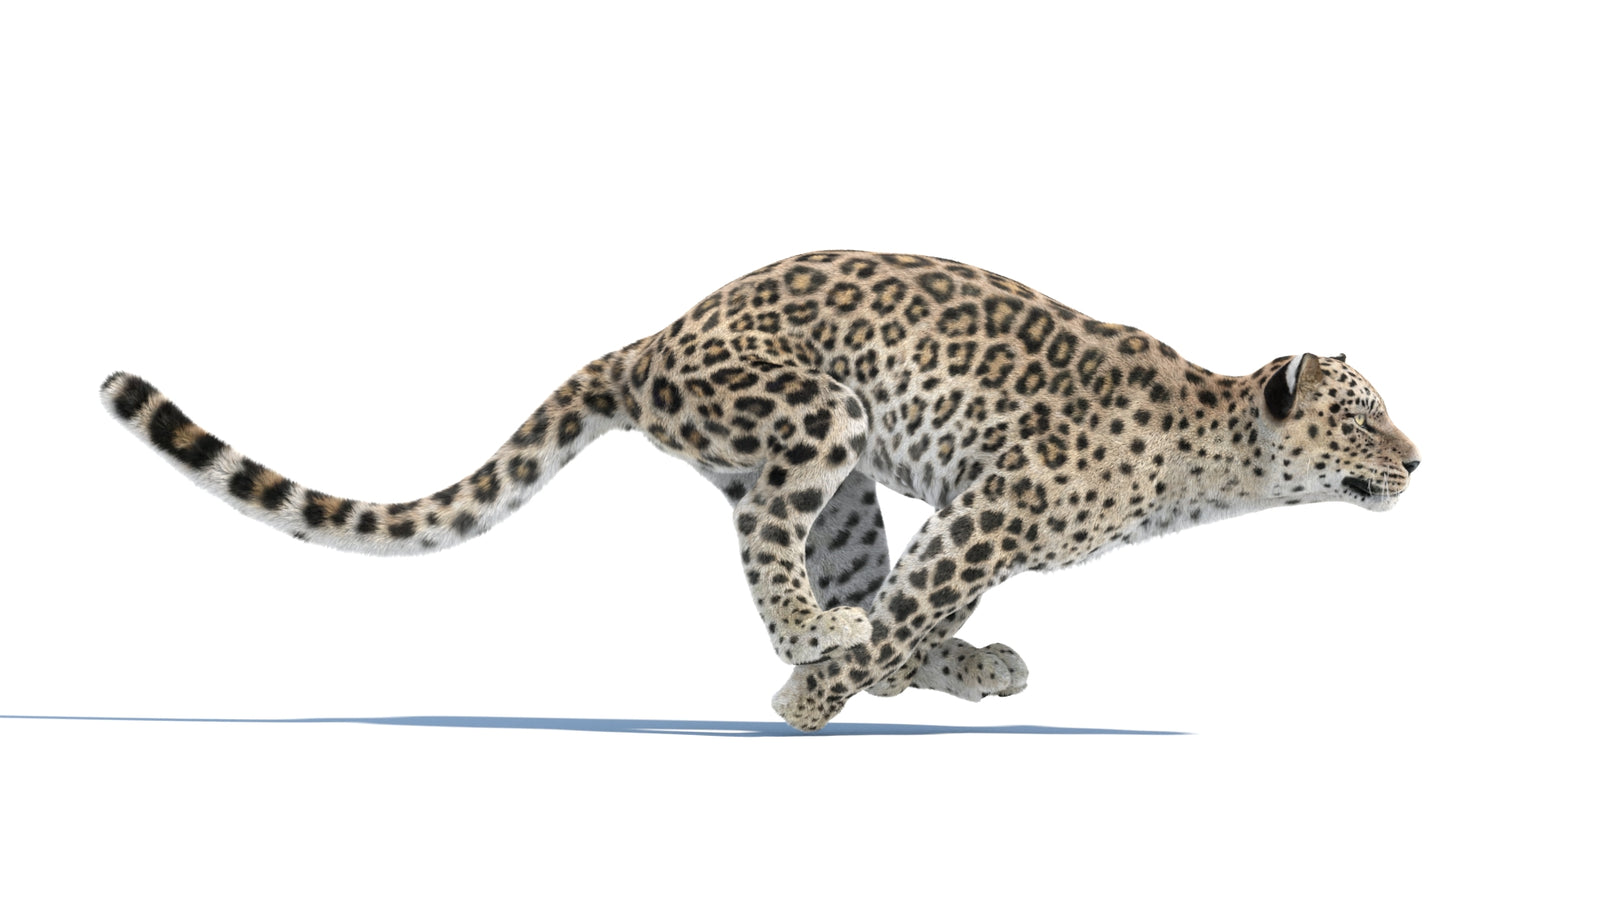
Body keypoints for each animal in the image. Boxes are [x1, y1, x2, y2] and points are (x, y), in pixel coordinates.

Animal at [101, 250, 1421, 731]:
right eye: (1364, 417)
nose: (1418, 461)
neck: (1210, 459)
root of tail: (651, 339)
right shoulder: (991, 508)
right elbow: (914, 608)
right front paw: (812, 700)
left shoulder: (976, 523)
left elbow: (917, 614)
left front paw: (941, 665)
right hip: (815, 412)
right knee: (764, 545)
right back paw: (814, 649)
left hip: (839, 490)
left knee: (809, 556)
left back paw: (912, 654)